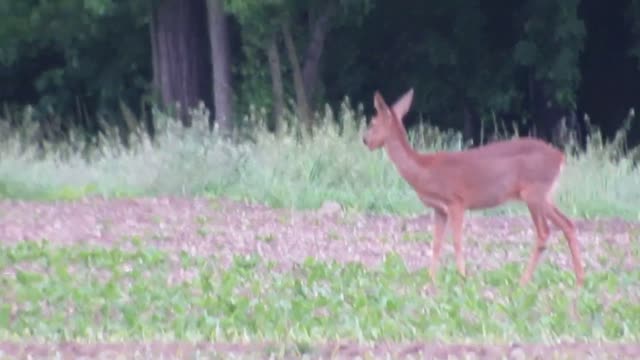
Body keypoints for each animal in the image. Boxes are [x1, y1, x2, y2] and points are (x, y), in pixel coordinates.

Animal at [360, 89, 584, 286]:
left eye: (373, 122)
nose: (365, 140)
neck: (424, 170)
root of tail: (560, 158)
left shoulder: (456, 201)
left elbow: (457, 241)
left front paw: (462, 277)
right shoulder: (439, 209)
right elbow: (436, 244)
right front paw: (431, 280)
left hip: (534, 193)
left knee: (546, 231)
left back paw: (526, 282)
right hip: (545, 195)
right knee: (567, 224)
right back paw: (579, 280)